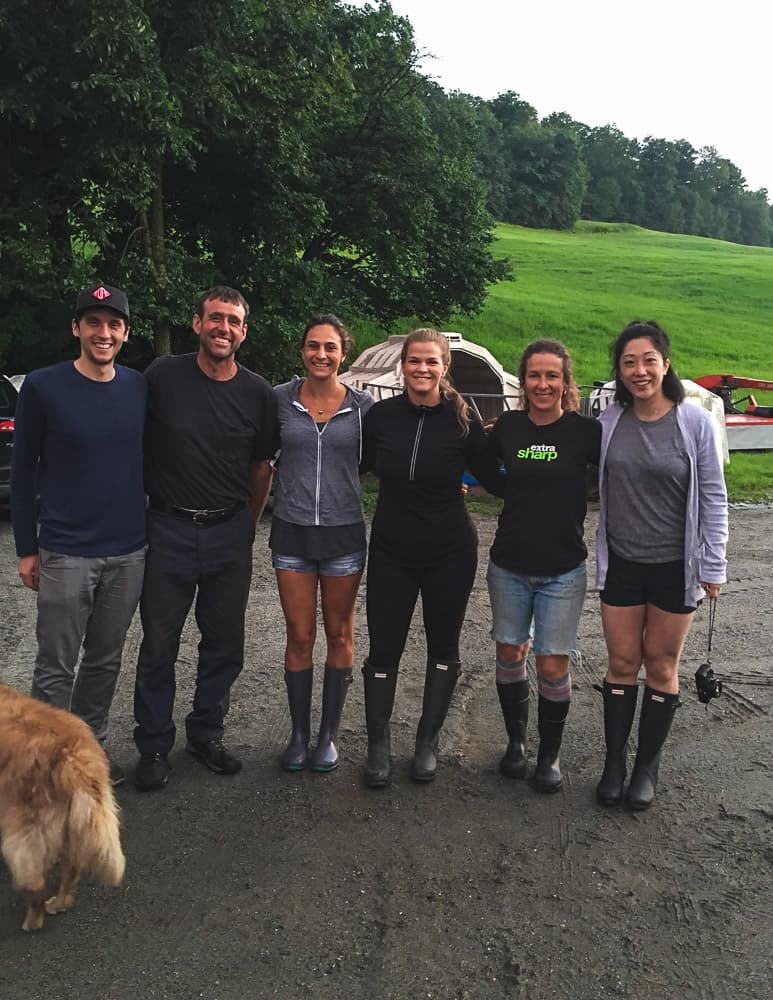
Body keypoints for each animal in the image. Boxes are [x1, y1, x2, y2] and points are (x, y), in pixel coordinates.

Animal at [0, 684, 125, 932]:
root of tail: (72, 756)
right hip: (73, 824)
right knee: (72, 868)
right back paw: (60, 903)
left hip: (24, 835)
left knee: (36, 884)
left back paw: (33, 922)